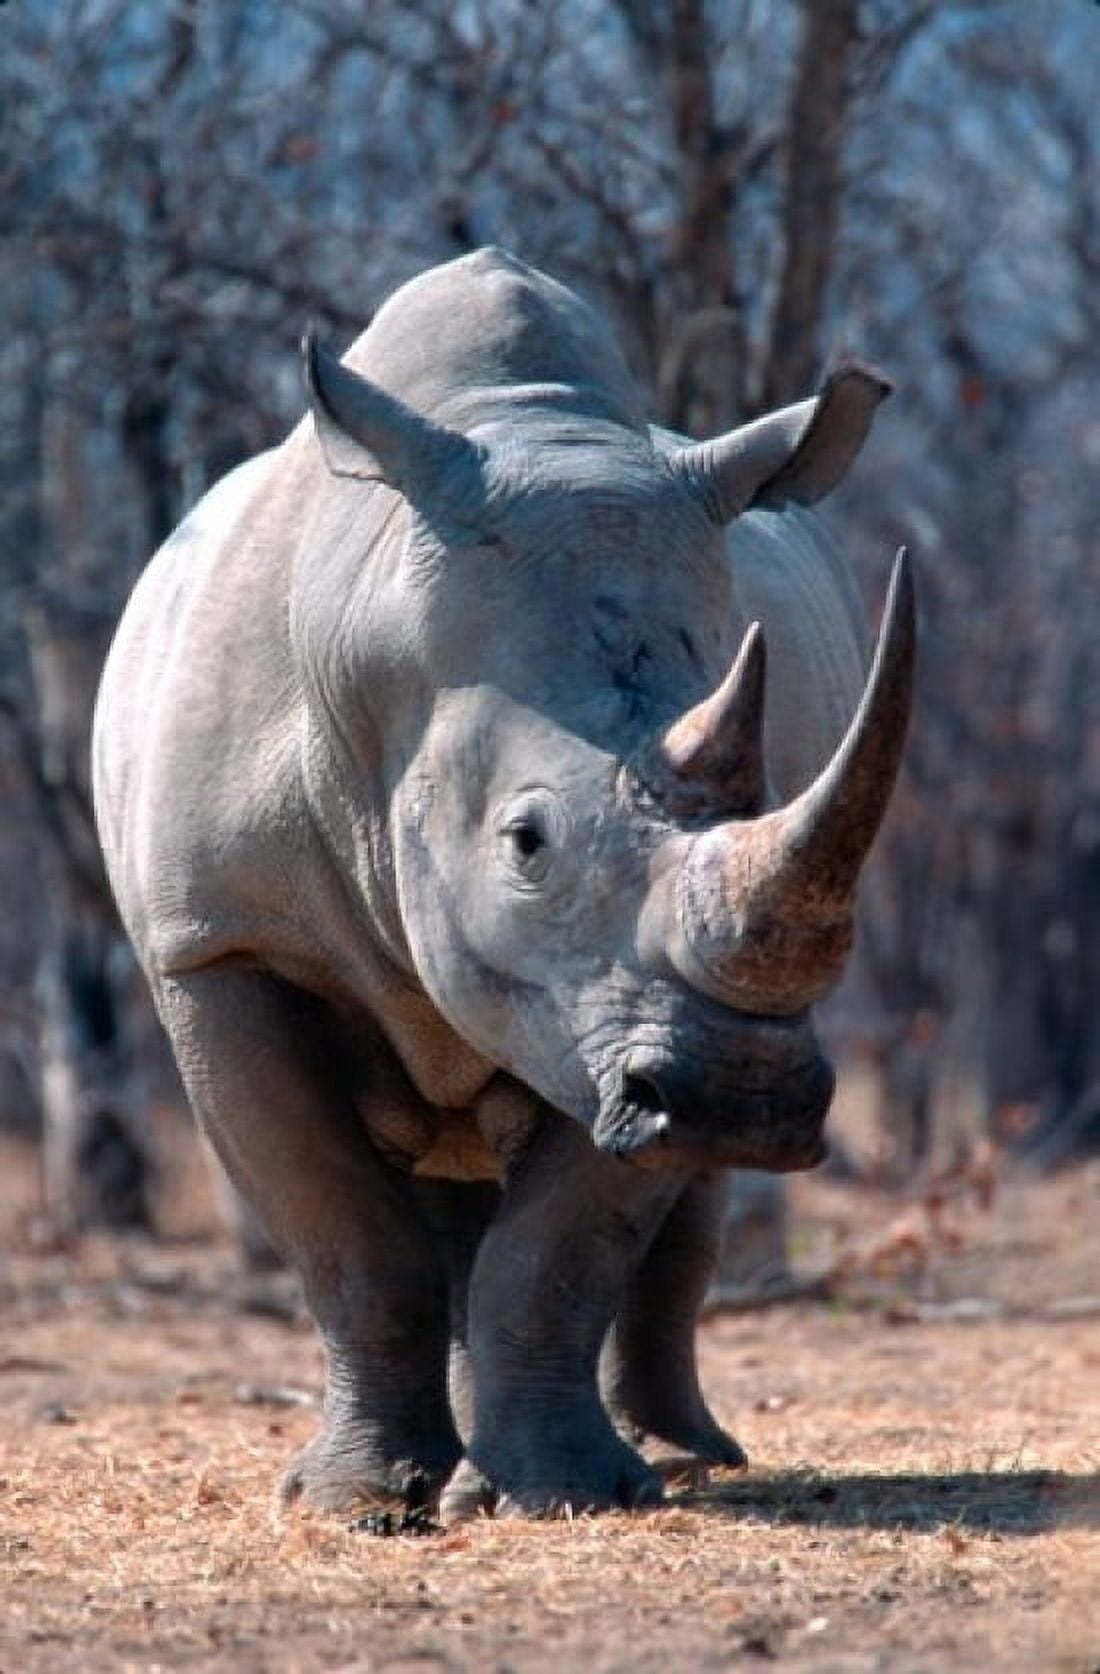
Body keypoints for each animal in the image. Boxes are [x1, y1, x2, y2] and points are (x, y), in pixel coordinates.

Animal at [92, 247, 913, 1520]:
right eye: (525, 842)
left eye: (764, 795)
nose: (739, 1097)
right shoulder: (218, 940)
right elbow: (342, 1228)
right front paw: (353, 1506)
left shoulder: (604, 1001)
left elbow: (562, 1247)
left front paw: (559, 1496)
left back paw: (668, 1459)